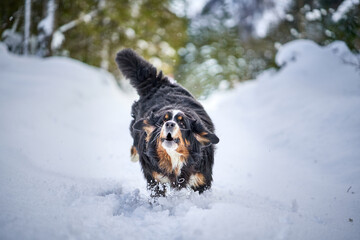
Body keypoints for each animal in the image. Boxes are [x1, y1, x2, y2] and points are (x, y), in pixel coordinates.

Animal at [115, 49, 219, 197]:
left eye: (182, 124)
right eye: (163, 120)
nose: (169, 124)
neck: (174, 158)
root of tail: (158, 83)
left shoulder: (201, 179)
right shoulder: (155, 180)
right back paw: (134, 154)